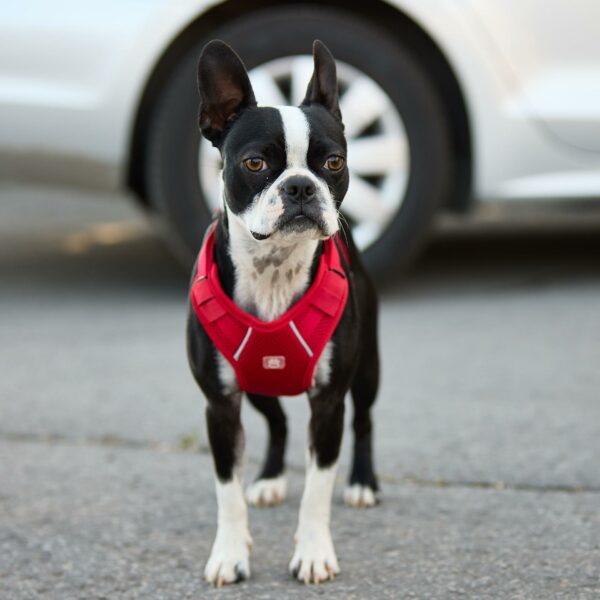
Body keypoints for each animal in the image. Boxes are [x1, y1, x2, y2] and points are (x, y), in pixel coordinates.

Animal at [186, 38, 380, 584]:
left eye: (333, 162)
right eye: (255, 164)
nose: (300, 186)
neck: (272, 271)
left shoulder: (329, 402)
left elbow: (317, 489)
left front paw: (313, 553)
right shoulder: (220, 403)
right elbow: (226, 491)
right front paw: (229, 555)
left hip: (367, 370)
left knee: (365, 421)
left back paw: (363, 482)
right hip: (254, 386)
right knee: (276, 423)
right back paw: (270, 478)